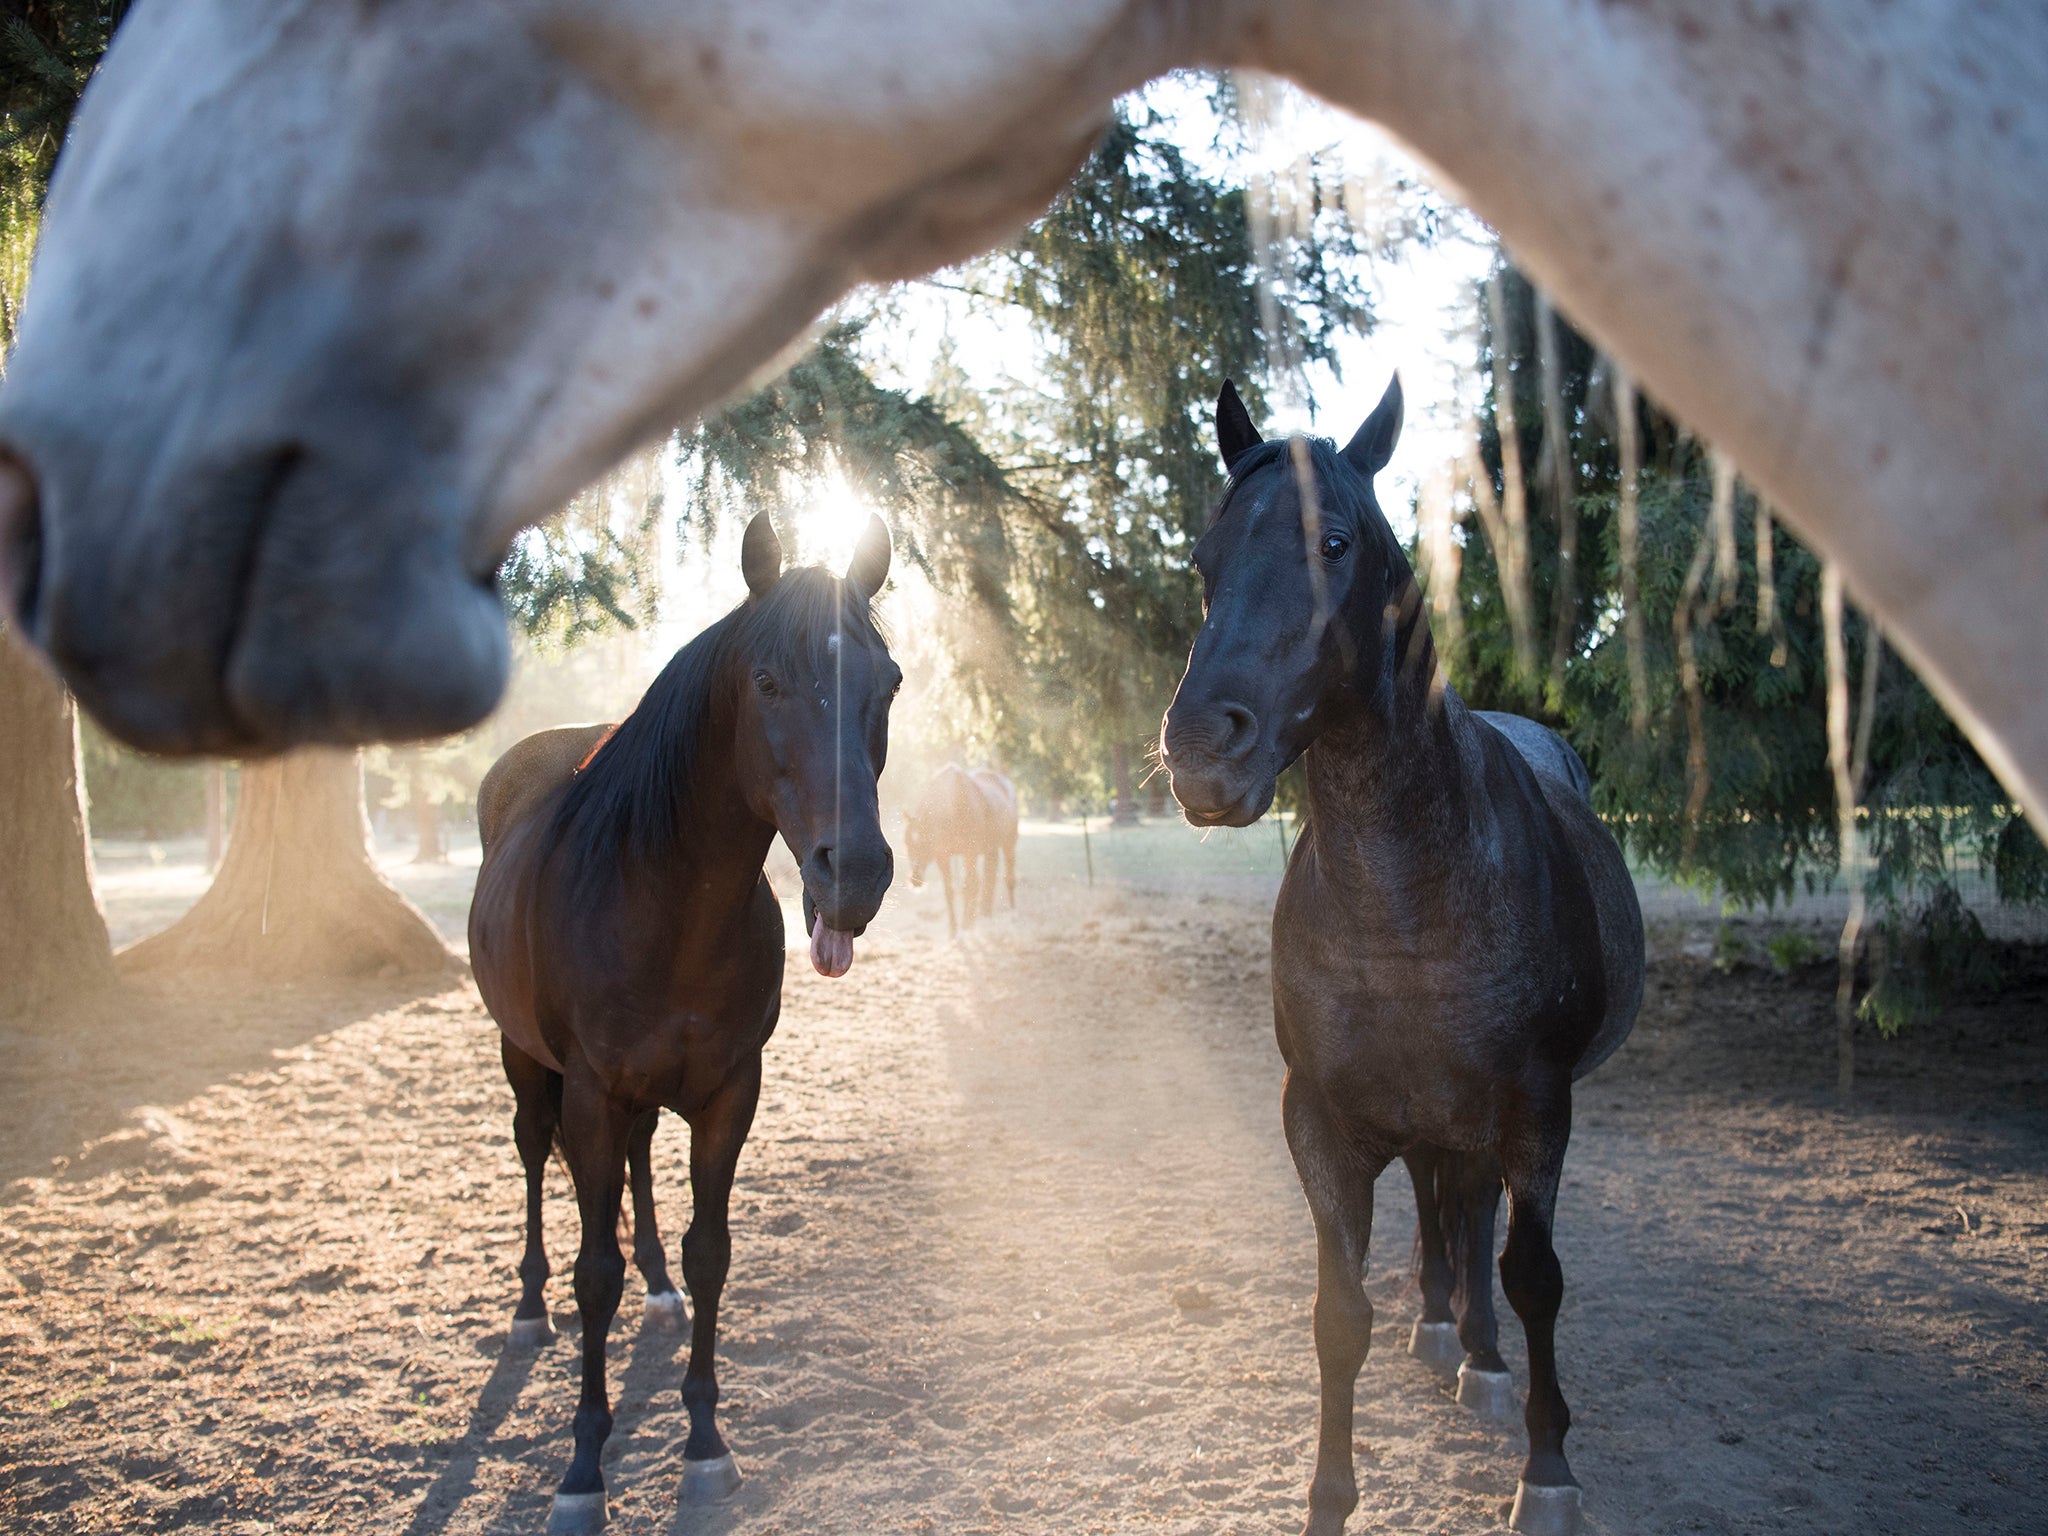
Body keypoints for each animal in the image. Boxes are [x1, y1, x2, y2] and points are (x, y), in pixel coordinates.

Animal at [479, 514, 905, 1531]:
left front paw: (706, 1445)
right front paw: (582, 1469)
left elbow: (712, 1254)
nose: (853, 873)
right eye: (767, 682)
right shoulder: (591, 1094)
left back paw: (659, 1289)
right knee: (533, 1157)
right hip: (527, 1063)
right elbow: (593, 1274)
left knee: (636, 1170)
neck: (661, 902)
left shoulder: (727, 1094)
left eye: (890, 684)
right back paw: (528, 1309)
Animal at [905, 765, 1015, 937]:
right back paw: (984, 917)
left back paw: (1011, 915)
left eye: (926, 844)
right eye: (907, 844)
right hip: (990, 849)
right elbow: (949, 890)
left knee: (1007, 877)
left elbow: (968, 887)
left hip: (1009, 843)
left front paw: (963, 929)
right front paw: (953, 930)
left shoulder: (969, 853)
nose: (915, 879)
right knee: (988, 880)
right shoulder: (943, 857)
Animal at [1163, 376, 1638, 1536]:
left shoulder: (1537, 1108)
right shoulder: (1321, 1121)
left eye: (1333, 542)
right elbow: (1339, 1313)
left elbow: (1532, 1276)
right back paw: (1442, 1331)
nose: (1199, 752)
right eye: (1203, 557)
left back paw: (1481, 1362)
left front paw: (1545, 1472)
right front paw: (1328, 1499)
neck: (1408, 905)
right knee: (1442, 1202)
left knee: (1474, 1220)